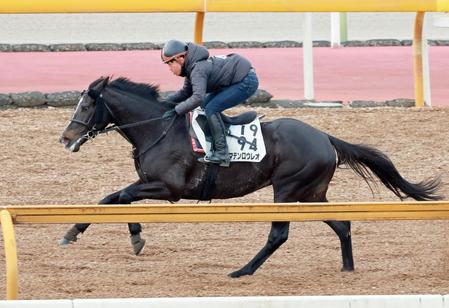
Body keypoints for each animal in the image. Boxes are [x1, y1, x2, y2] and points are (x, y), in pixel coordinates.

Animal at [59, 76, 440, 278]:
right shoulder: (153, 186)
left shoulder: (169, 188)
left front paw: (122, 235)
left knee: (279, 235)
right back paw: (347, 267)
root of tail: (324, 137)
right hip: (311, 194)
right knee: (342, 223)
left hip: (287, 190)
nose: (65, 138)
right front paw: (79, 232)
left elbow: (119, 197)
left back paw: (243, 270)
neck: (158, 129)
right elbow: (112, 199)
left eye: (86, 106)